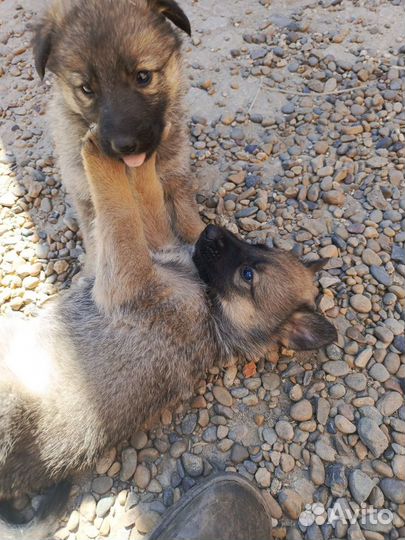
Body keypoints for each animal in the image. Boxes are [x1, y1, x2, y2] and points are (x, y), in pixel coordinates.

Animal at [0, 136, 334, 540]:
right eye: (261, 246)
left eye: (248, 275)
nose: (209, 231)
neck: (211, 305)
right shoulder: (155, 247)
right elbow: (149, 200)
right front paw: (146, 158)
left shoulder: (129, 277)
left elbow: (122, 214)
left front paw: (101, 157)